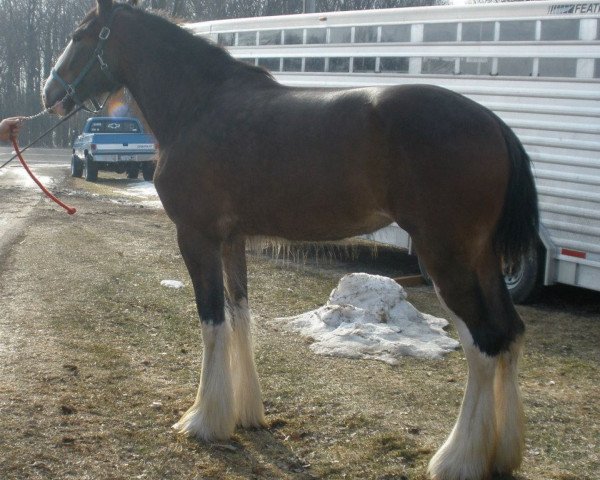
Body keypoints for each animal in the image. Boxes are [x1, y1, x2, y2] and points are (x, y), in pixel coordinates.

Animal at [43, 1, 540, 478]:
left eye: (79, 36)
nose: (50, 94)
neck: (198, 105)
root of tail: (492, 124)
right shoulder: (232, 240)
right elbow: (240, 315)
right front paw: (245, 413)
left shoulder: (196, 237)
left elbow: (212, 321)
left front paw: (203, 420)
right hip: (481, 258)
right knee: (510, 334)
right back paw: (502, 454)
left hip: (446, 257)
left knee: (484, 344)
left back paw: (458, 459)